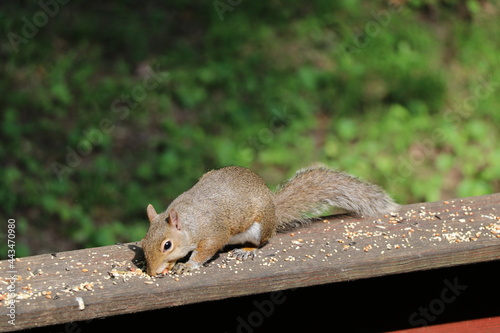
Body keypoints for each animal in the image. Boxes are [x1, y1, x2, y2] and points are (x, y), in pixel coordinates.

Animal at [142, 165, 398, 274]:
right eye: (143, 244)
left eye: (167, 245)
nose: (153, 273)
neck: (189, 222)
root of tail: (274, 210)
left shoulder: (214, 232)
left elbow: (206, 250)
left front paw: (189, 264)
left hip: (259, 227)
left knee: (261, 242)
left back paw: (246, 250)